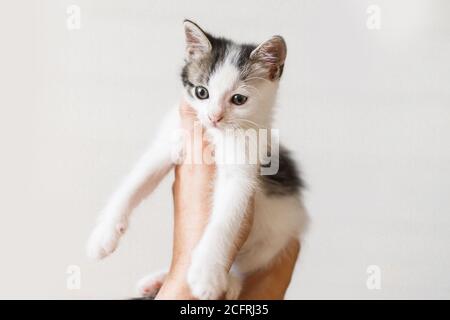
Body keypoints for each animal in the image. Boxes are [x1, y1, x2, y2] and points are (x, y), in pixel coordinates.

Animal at [86, 20, 308, 300]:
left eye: (239, 99)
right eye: (202, 92)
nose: (214, 117)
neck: (215, 134)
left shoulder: (243, 172)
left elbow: (225, 221)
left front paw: (207, 273)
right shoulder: (168, 142)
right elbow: (134, 183)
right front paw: (103, 235)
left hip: (276, 237)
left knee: (247, 264)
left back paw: (230, 282)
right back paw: (156, 280)